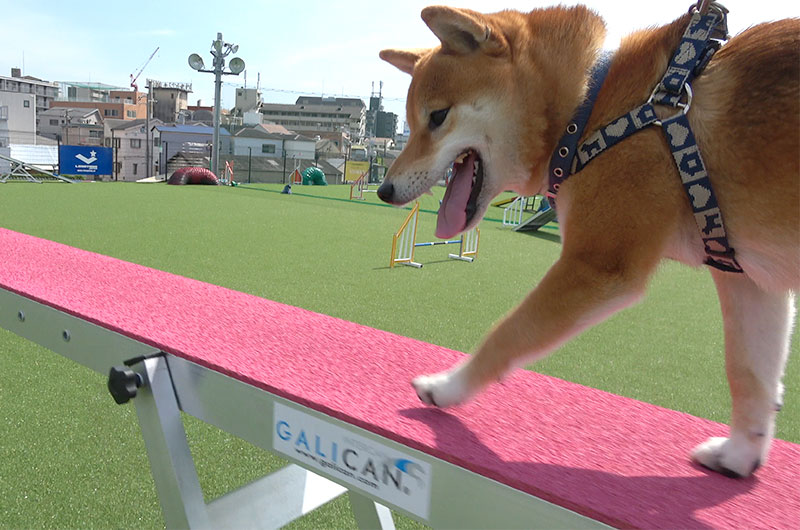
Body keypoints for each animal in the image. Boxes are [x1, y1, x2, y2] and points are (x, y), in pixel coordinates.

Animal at [378, 2, 796, 476]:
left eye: (437, 117)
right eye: (411, 121)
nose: (384, 190)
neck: (591, 104)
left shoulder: (599, 265)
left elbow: (509, 331)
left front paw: (448, 386)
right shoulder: (747, 278)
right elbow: (749, 373)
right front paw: (740, 454)